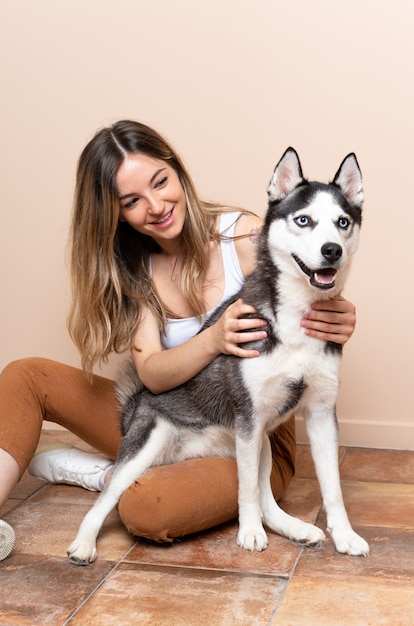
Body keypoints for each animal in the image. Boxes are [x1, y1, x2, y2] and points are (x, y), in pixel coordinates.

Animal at [67, 149, 368, 564]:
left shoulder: (320, 412)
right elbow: (246, 490)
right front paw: (249, 533)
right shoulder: (249, 414)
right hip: (155, 440)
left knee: (266, 497)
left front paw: (345, 535)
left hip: (256, 440)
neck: (295, 316)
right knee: (108, 493)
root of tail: (136, 404)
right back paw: (83, 542)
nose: (331, 251)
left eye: (343, 223)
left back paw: (294, 528)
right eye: (303, 220)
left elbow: (332, 488)